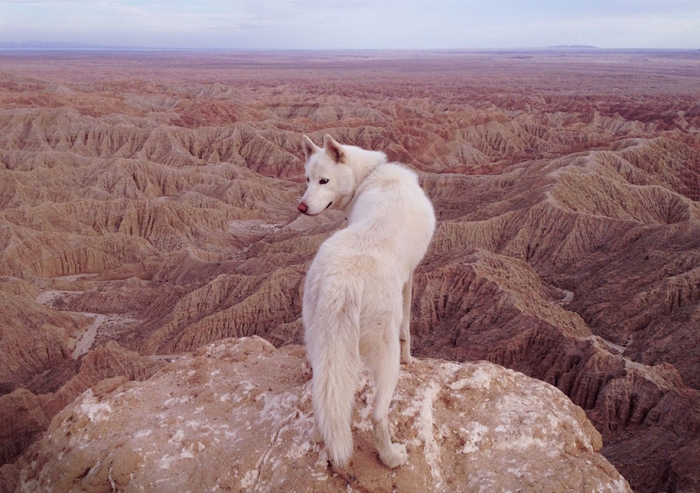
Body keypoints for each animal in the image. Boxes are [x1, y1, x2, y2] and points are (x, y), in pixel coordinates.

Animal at [299, 134, 436, 469]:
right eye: (308, 179)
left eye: (322, 180)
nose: (302, 206)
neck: (371, 175)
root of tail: (342, 282)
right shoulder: (410, 277)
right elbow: (407, 329)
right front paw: (412, 359)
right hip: (384, 355)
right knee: (377, 414)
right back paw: (392, 457)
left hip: (318, 342)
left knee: (324, 399)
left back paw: (321, 435)